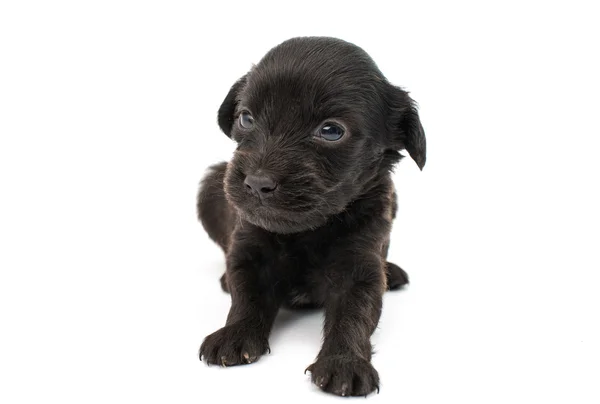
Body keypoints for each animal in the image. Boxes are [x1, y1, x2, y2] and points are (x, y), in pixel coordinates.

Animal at [195, 36, 424, 396]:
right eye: (246, 118)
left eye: (331, 131)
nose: (257, 183)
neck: (305, 232)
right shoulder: (249, 251)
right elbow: (246, 296)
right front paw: (235, 334)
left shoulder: (359, 267)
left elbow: (353, 315)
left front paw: (344, 362)